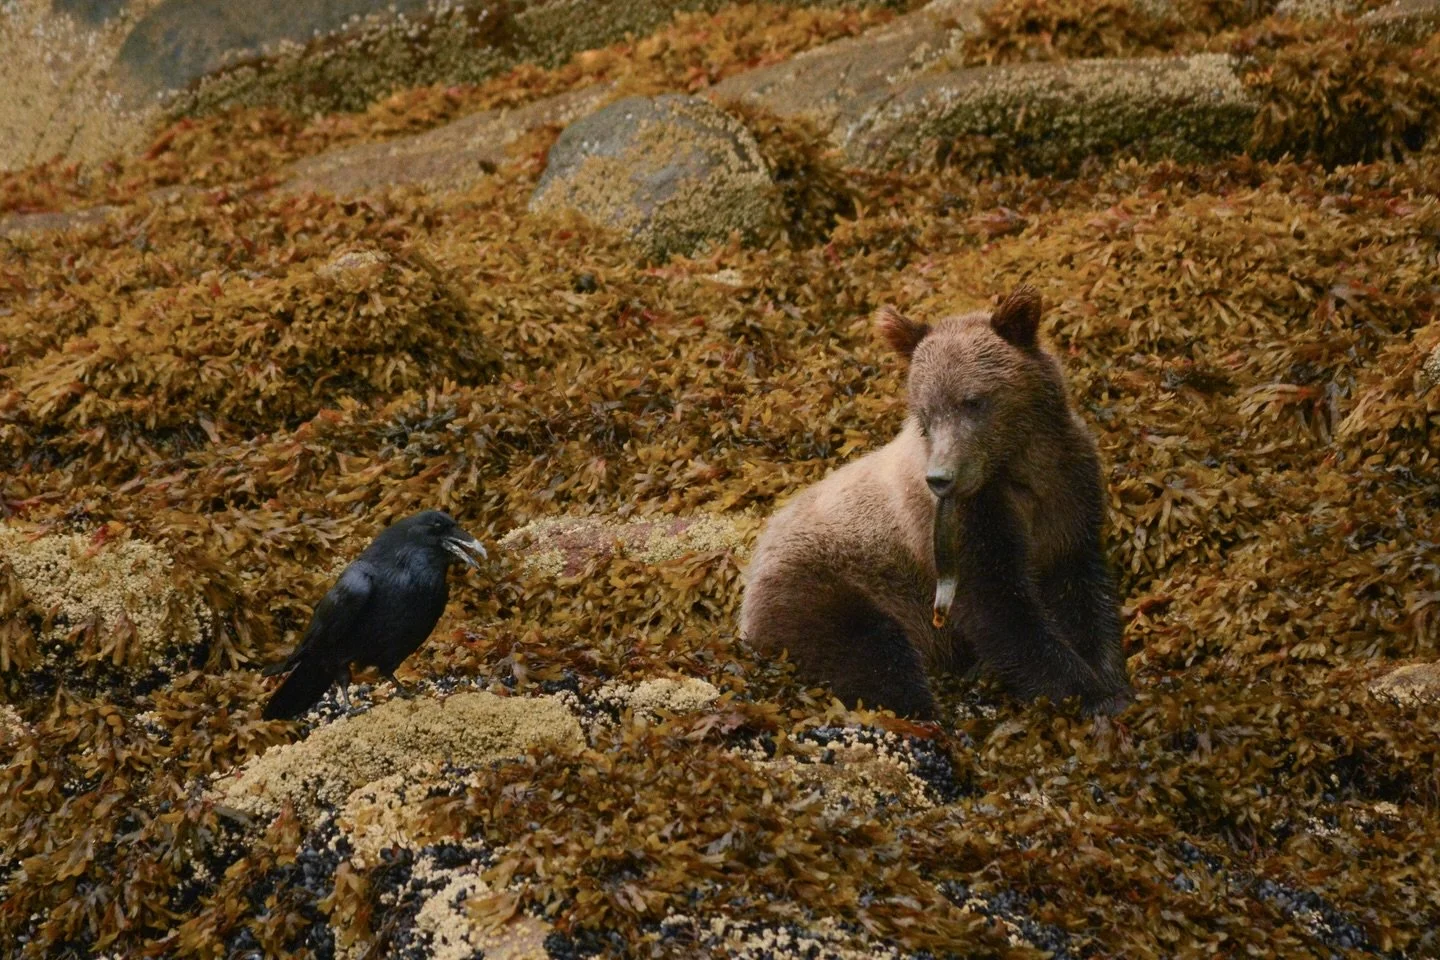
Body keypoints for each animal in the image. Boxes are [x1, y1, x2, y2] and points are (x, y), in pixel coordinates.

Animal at [739, 285, 1133, 720]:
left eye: (973, 401)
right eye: (925, 412)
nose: (941, 478)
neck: (1017, 466)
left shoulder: (1069, 492)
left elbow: (1081, 591)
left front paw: (1109, 677)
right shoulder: (964, 524)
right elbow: (1002, 612)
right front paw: (1092, 695)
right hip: (824, 587)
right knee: (872, 653)